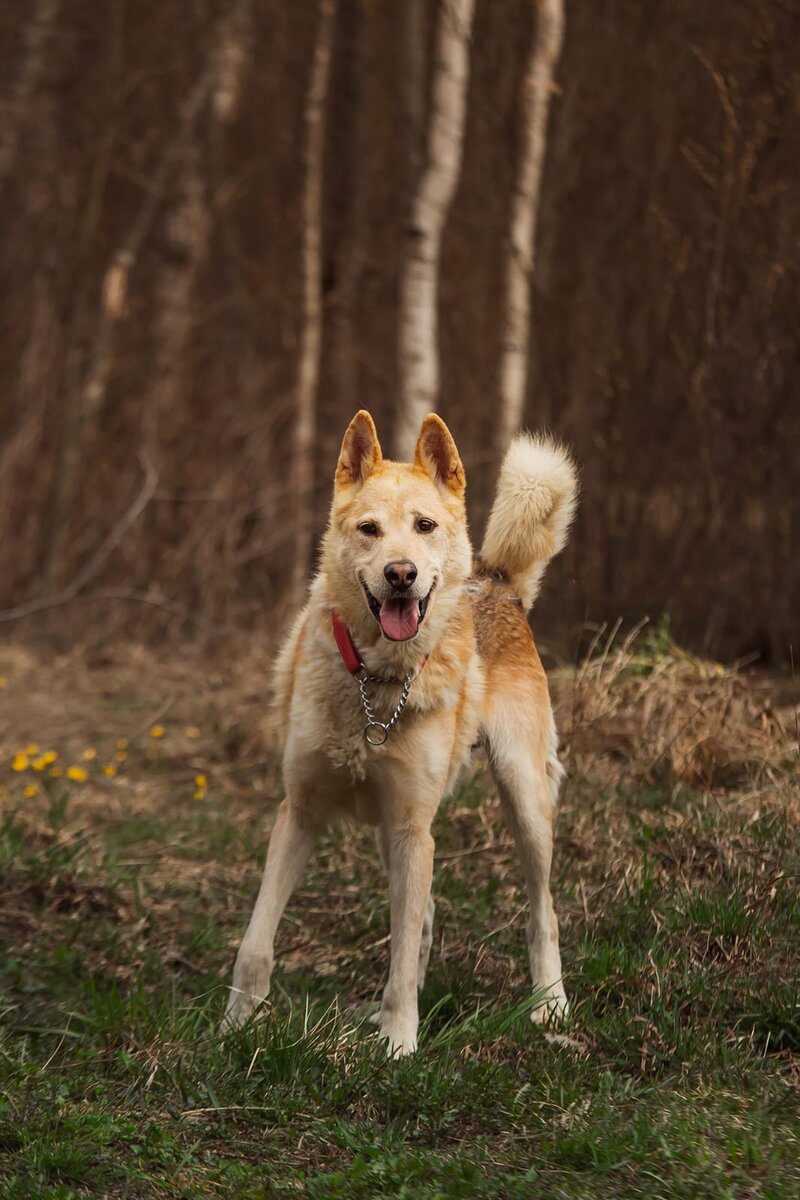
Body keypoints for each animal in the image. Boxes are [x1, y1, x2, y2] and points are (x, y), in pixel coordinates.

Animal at [221, 410, 578, 1051]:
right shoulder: (299, 813)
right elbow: (256, 943)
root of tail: (497, 580)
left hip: (524, 802)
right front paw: (234, 1028)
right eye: (369, 529)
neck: (376, 682)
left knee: (543, 912)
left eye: (424, 525)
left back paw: (550, 1004)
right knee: (427, 914)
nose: (401, 574)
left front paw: (398, 1043)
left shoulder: (414, 827)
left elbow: (403, 951)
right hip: (396, 833)